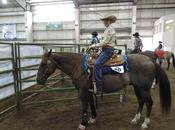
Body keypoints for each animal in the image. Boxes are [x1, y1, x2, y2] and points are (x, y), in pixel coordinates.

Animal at [36, 49, 171, 129]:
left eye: (43, 64)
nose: (38, 80)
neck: (79, 66)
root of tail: (149, 60)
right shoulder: (89, 91)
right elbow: (91, 105)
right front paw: (93, 119)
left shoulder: (83, 92)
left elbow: (84, 108)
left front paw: (82, 124)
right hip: (137, 87)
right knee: (141, 101)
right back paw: (135, 119)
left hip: (144, 88)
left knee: (149, 102)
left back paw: (145, 123)